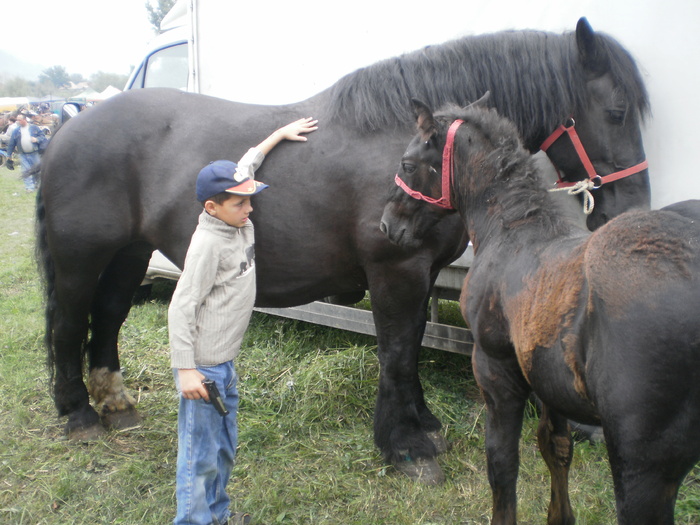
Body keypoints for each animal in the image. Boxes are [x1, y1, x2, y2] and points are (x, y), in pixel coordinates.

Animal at [37, 18, 652, 482]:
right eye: (618, 111)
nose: (632, 207)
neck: (402, 146)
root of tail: (69, 125)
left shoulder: (421, 273)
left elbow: (411, 346)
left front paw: (423, 426)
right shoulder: (395, 270)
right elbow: (397, 351)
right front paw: (405, 447)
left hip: (128, 254)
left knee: (108, 317)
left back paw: (116, 405)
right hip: (80, 258)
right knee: (69, 322)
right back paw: (78, 414)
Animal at [380, 101, 700, 520]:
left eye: (408, 163)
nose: (387, 224)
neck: (513, 229)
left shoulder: (495, 370)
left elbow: (502, 463)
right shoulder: (548, 381)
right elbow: (556, 449)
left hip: (642, 468)